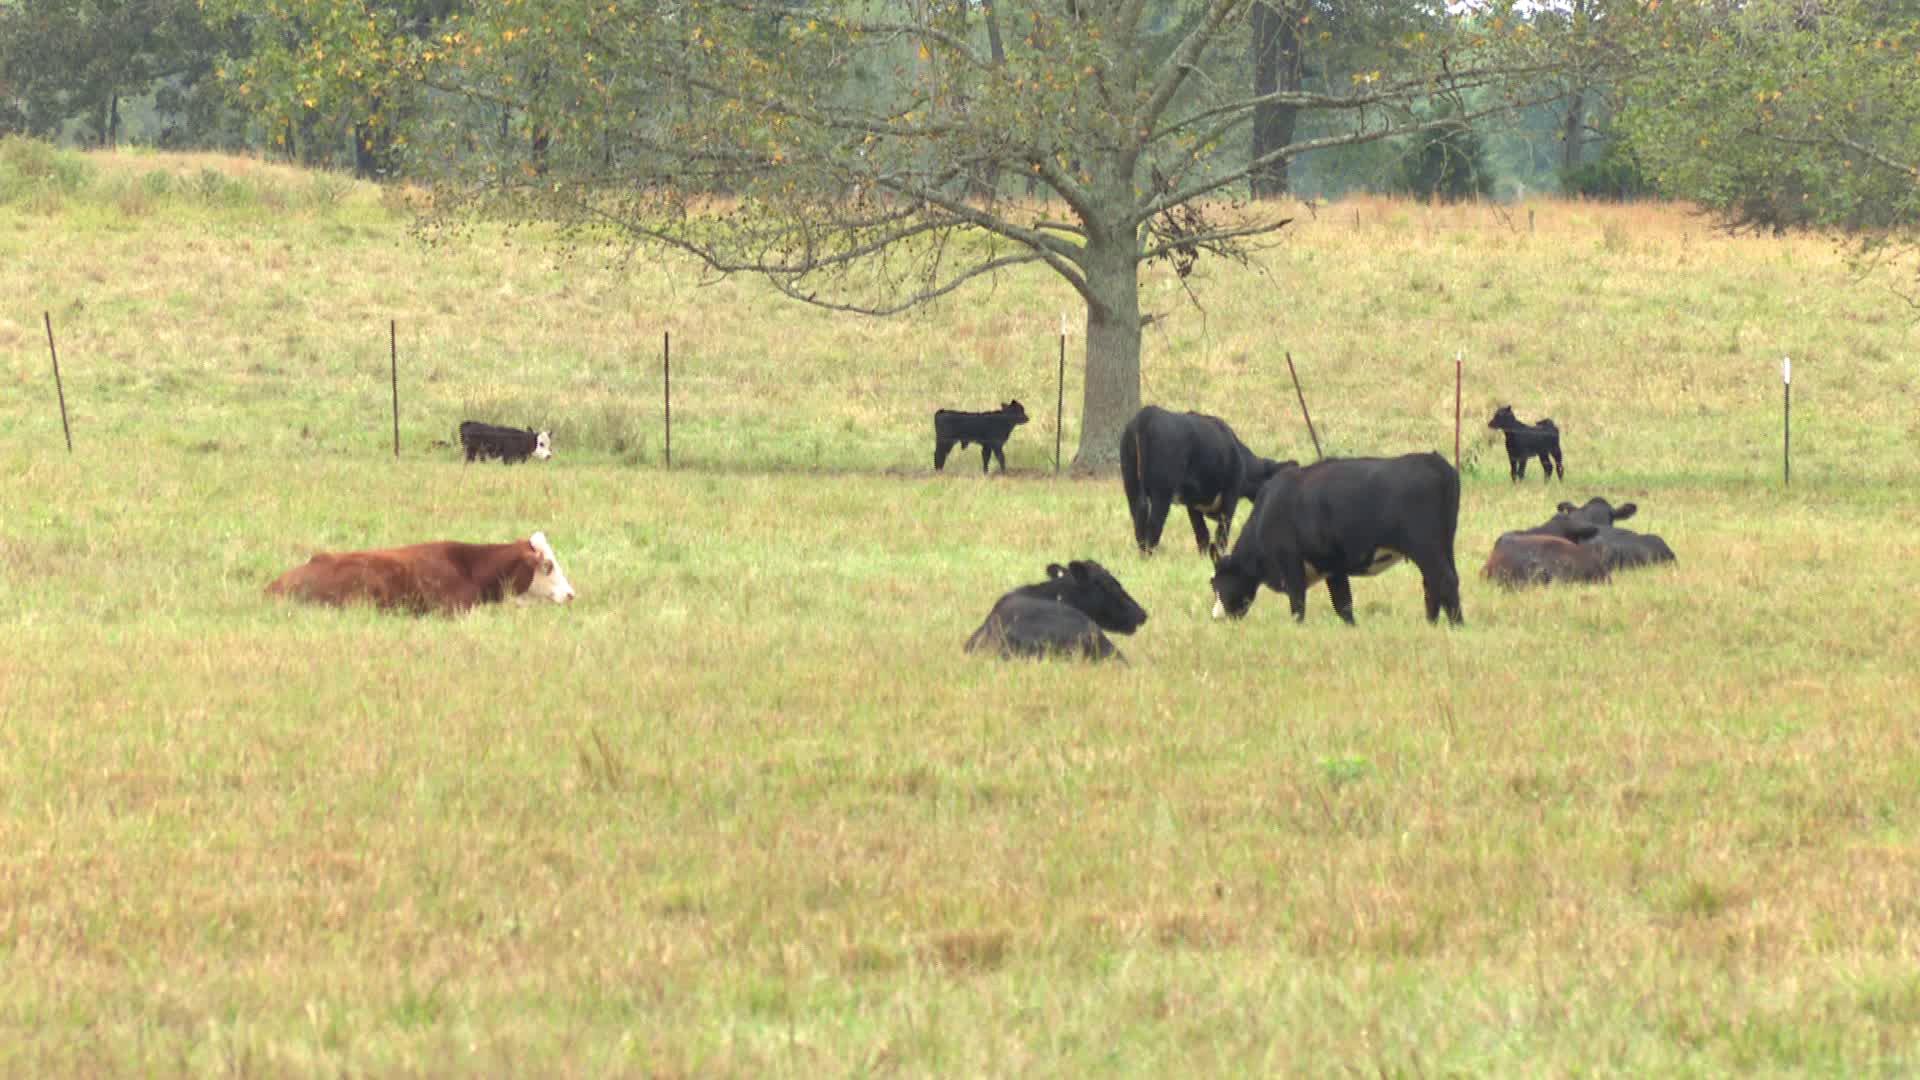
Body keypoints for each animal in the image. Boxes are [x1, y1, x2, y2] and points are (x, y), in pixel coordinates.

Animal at [1119, 405, 1292, 558]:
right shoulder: (1230, 495)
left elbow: (1202, 534)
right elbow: (1221, 534)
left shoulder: (1193, 503)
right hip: (1162, 492)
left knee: (1138, 517)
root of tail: (1145, 416)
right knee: (1154, 524)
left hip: (1131, 483)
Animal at [1209, 453, 1463, 625]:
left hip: (1426, 547)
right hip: (1443, 546)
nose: (1216, 618)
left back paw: (1456, 626)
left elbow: (1298, 604)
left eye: (1216, 583)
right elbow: (1343, 605)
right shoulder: (1333, 567)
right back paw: (1432, 624)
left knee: (1444, 581)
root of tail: (1433, 460)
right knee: (1433, 584)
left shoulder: (1290, 562)